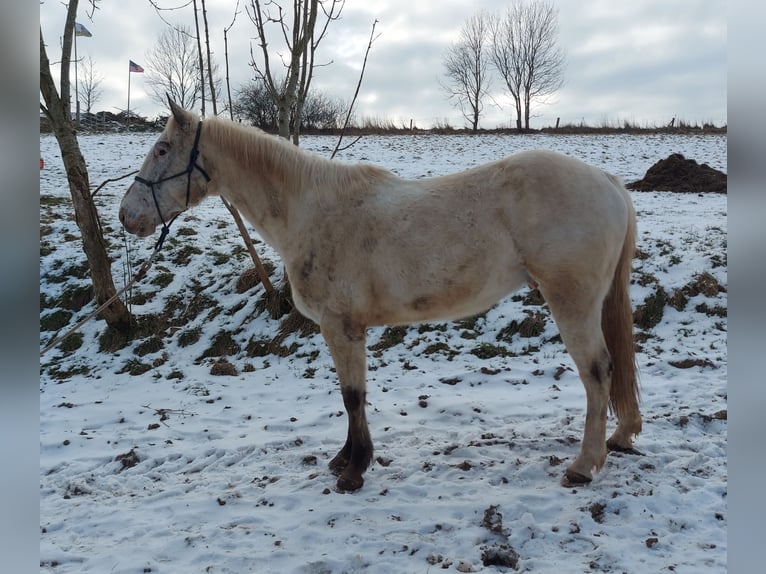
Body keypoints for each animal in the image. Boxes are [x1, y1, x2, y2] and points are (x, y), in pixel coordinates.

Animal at [120, 99, 644, 496]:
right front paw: (344, 459)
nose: (127, 216)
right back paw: (620, 438)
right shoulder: (346, 330)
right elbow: (352, 395)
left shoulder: (341, 327)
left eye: (162, 148)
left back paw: (583, 465)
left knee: (598, 370)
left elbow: (352, 397)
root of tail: (606, 181)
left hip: (571, 300)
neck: (310, 210)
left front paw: (354, 470)